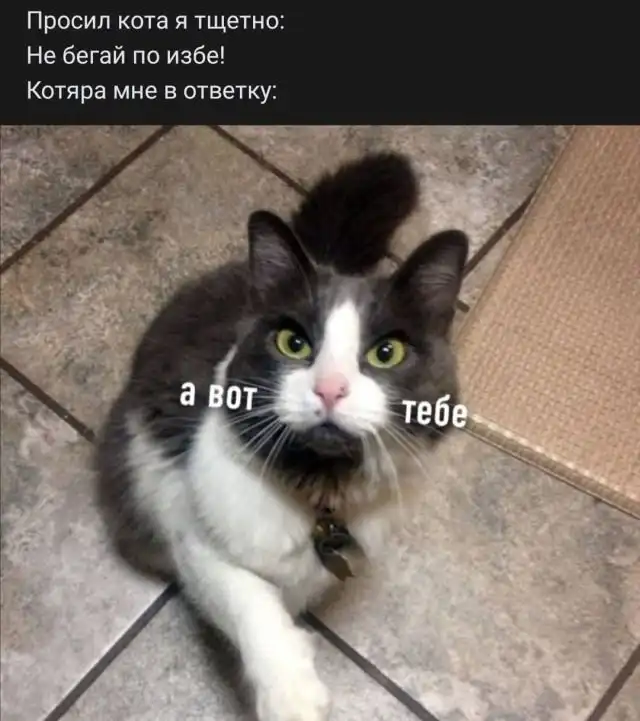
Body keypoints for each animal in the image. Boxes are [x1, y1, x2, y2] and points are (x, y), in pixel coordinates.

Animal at [95, 152, 469, 721]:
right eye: (294, 343)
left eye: (387, 353)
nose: (330, 388)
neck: (321, 490)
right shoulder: (193, 532)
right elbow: (249, 598)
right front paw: (291, 691)